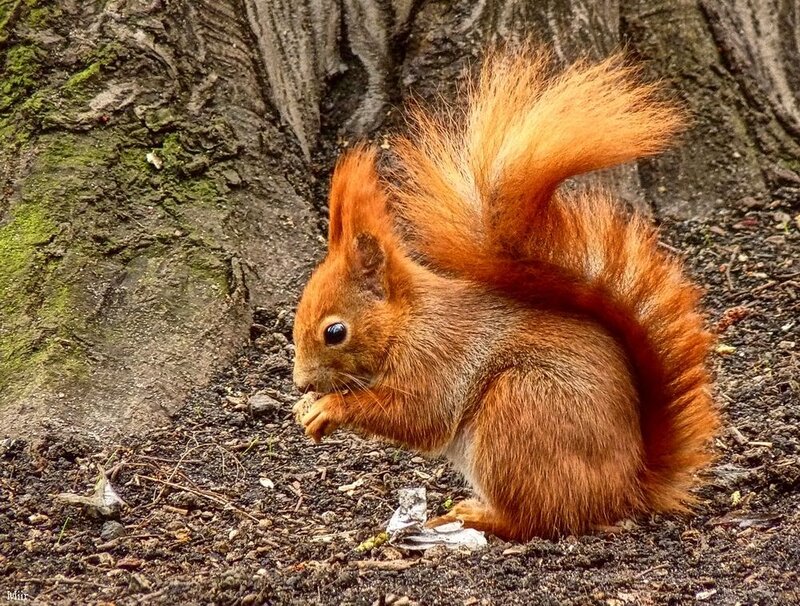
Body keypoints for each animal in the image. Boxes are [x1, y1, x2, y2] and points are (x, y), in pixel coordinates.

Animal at [291, 48, 718, 540]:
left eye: (335, 332)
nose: (300, 382)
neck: (408, 321)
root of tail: (628, 488)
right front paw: (305, 406)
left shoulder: (438, 358)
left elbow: (417, 415)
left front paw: (328, 408)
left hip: (518, 411)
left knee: (536, 519)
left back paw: (474, 515)